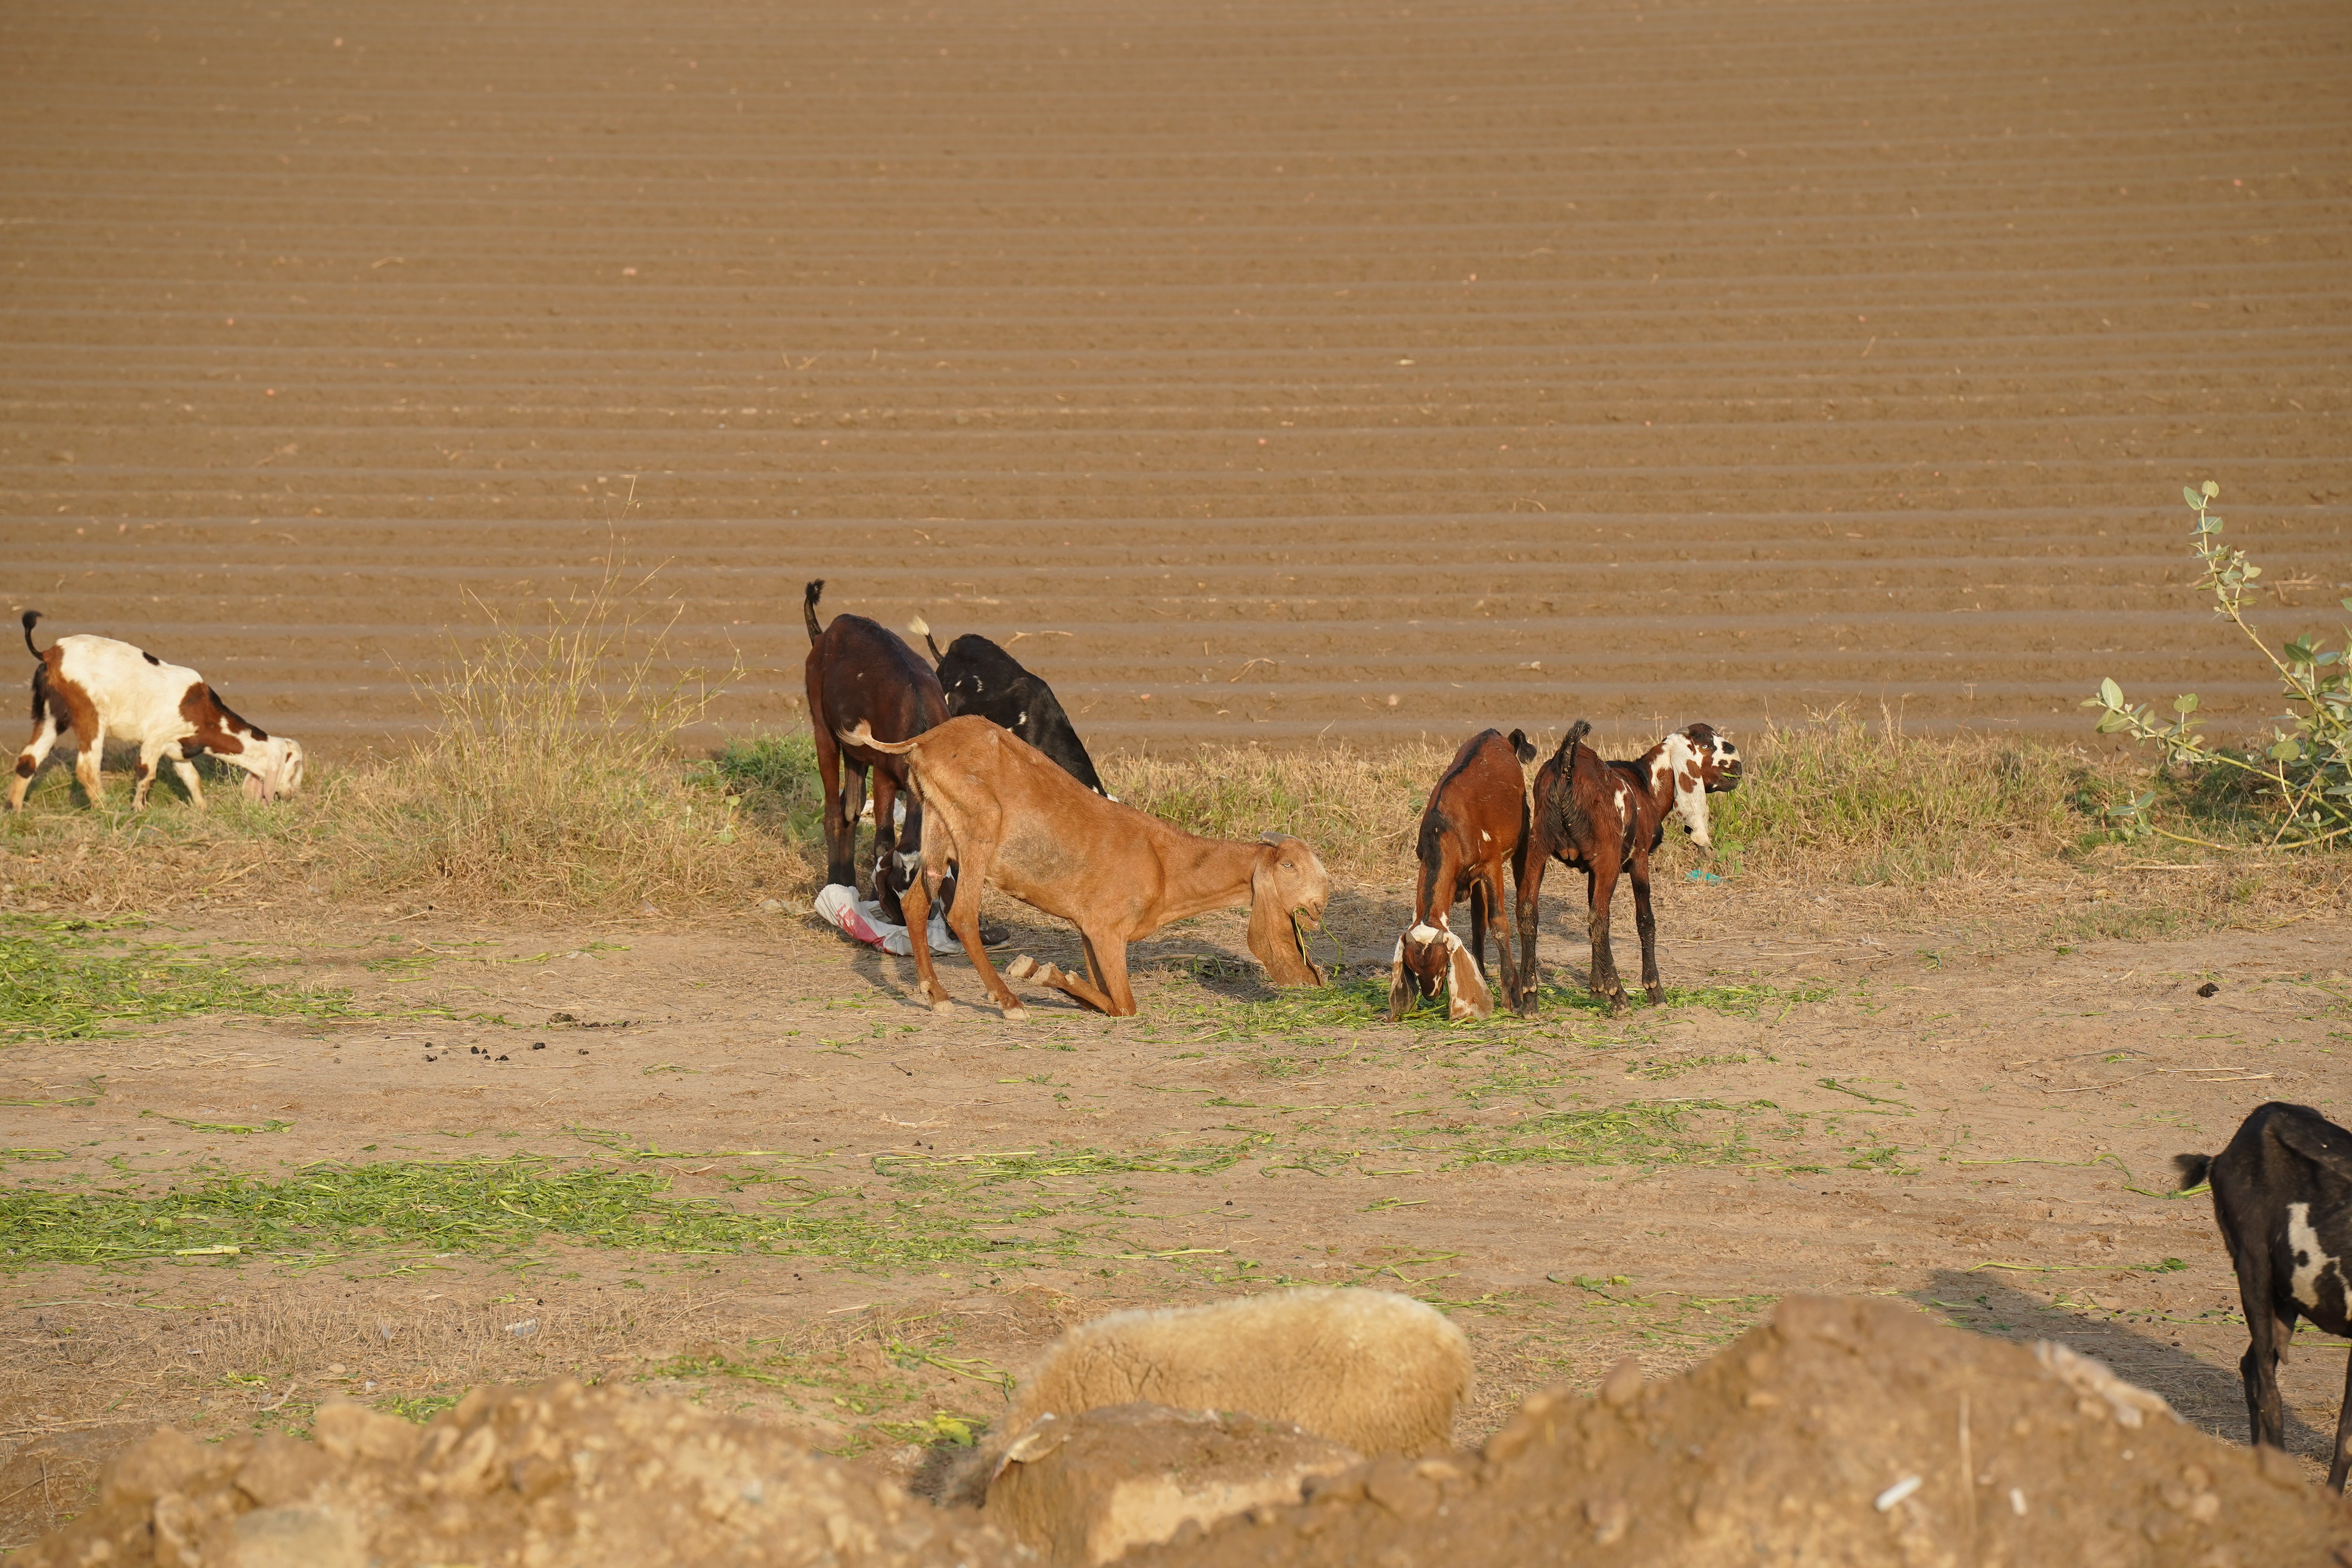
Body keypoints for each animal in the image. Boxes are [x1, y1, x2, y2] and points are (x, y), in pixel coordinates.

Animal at [7, 612, 304, 811]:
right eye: (296, 767)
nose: (292, 795)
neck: (206, 715)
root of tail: (50, 654)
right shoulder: (155, 738)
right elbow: (146, 774)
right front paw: (138, 812)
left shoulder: (177, 749)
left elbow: (192, 779)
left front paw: (203, 810)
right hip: (91, 714)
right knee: (87, 769)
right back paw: (106, 808)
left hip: (51, 714)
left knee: (28, 760)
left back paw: (14, 811)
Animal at [837, 715, 1327, 1018]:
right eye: (1290, 866)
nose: (1322, 903)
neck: (1168, 867)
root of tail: (925, 741)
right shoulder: (1108, 930)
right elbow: (1125, 1005)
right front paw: (1039, 972)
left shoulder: (1089, 929)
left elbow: (1104, 999)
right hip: (980, 825)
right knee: (960, 914)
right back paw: (1009, 1001)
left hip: (939, 823)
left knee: (918, 903)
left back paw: (937, 994)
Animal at [1390, 727, 1536, 1021]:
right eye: (1413, 967)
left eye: (1443, 963)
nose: (1430, 994)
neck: (1446, 828)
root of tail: (1498, 735)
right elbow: (1479, 922)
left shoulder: (1491, 865)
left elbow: (1499, 923)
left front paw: (1513, 996)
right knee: (1478, 918)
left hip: (1522, 838)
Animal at [1512, 719, 1741, 1015]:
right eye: (1705, 746)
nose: (1738, 766)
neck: (1646, 788)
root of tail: (1566, 766)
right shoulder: (1638, 858)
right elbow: (1645, 920)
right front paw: (1653, 990)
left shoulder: (1593, 867)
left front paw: (1597, 990)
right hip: (1607, 857)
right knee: (1599, 918)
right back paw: (1620, 996)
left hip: (1538, 845)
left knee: (1530, 912)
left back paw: (1530, 998)